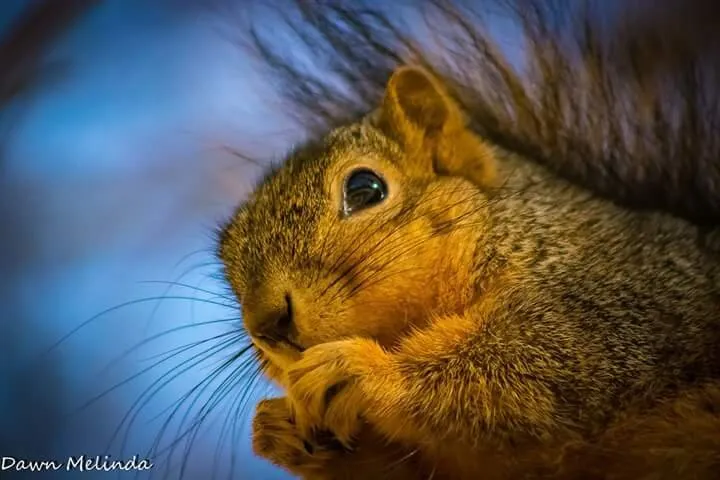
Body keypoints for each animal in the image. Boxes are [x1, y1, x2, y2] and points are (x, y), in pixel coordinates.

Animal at [218, 1, 720, 478]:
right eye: (226, 260)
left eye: (364, 188)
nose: (267, 323)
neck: (516, 239)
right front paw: (282, 430)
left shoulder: (612, 309)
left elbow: (536, 371)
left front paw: (361, 371)